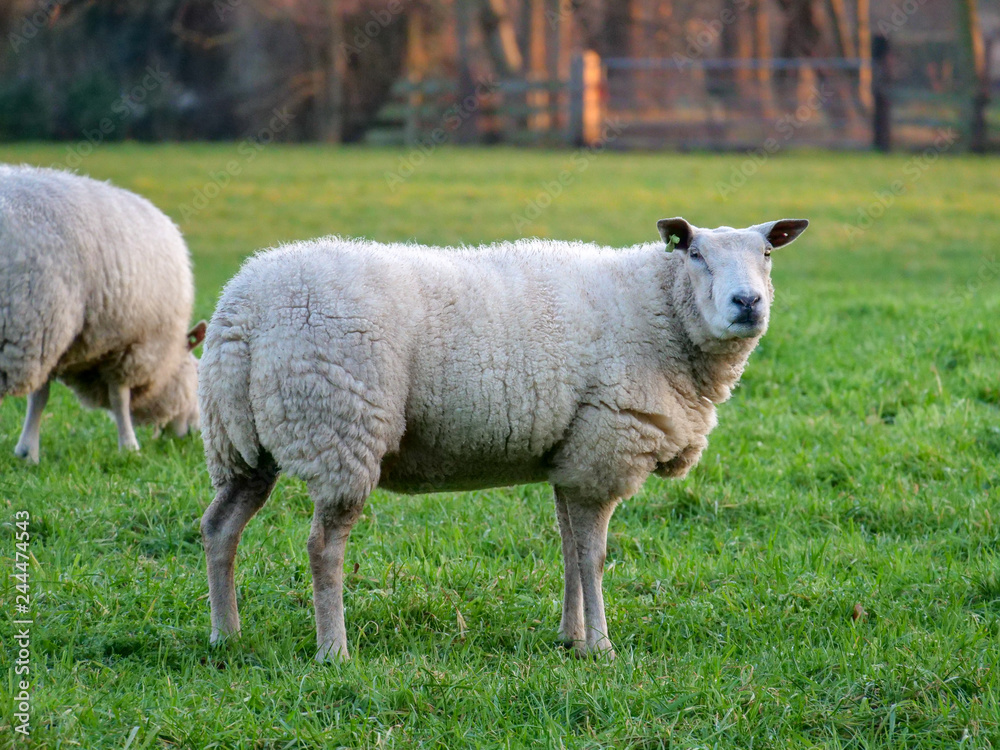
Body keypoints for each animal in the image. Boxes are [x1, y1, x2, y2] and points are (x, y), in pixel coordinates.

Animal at [0, 164, 206, 463]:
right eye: (196, 375)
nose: (193, 434)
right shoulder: (130, 345)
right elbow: (120, 398)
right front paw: (129, 447)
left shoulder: (48, 339)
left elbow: (39, 396)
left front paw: (28, 452)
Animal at [198, 216, 809, 661]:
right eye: (695, 254)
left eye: (767, 254)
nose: (747, 303)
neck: (659, 310)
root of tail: (242, 306)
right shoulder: (605, 446)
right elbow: (593, 556)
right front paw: (602, 647)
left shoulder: (573, 455)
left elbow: (569, 550)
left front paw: (570, 638)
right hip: (338, 430)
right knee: (323, 547)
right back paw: (334, 651)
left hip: (241, 444)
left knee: (219, 527)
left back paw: (226, 635)